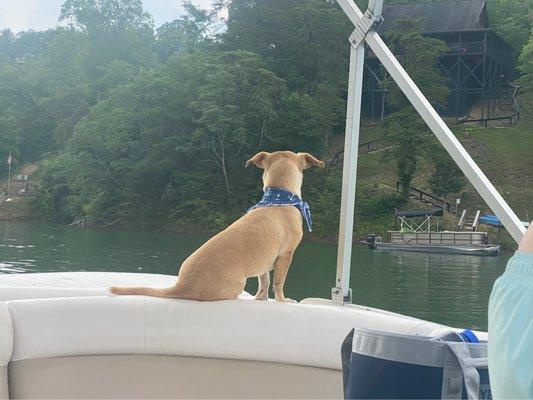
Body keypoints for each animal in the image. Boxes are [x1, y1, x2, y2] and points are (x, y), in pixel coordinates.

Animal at [110, 152, 322, 302]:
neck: (279, 197)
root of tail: (181, 286)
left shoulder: (266, 261)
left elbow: (264, 281)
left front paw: (260, 298)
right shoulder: (286, 255)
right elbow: (278, 282)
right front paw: (283, 300)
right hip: (237, 284)